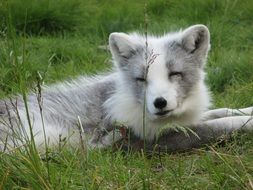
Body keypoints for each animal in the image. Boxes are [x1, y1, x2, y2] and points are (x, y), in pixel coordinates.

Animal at [0, 24, 253, 151]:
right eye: (141, 79)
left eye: (174, 74)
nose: (159, 103)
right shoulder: (155, 139)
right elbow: (220, 125)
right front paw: (247, 122)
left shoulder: (186, 119)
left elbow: (223, 111)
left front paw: (248, 110)